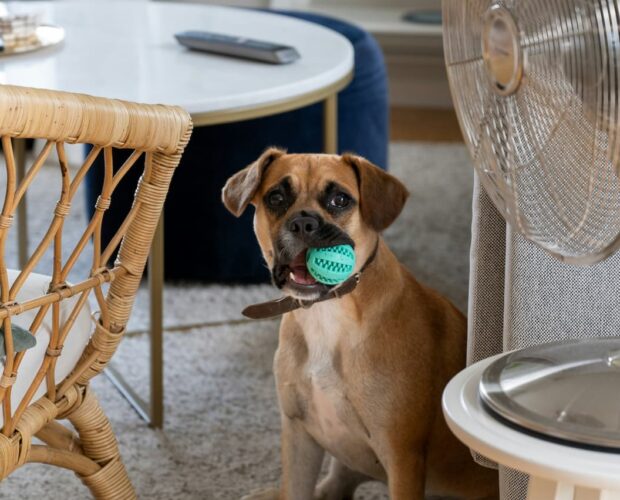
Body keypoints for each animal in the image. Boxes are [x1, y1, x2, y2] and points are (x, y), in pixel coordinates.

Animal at [223, 149, 498, 500]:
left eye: (340, 199)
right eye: (276, 197)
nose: (303, 223)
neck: (328, 314)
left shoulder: (401, 456)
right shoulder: (299, 436)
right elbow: (295, 490)